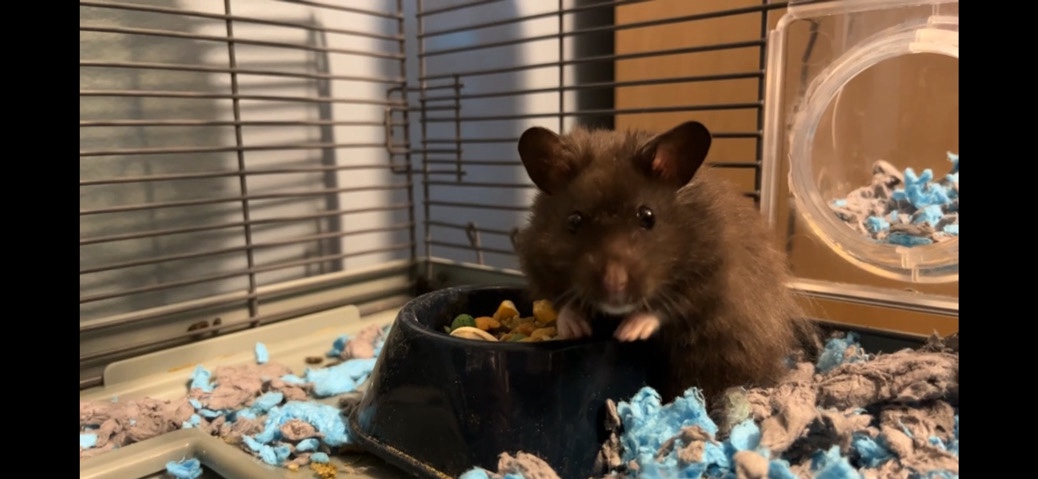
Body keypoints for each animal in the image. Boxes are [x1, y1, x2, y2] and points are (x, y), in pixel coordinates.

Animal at [513, 120, 820, 404]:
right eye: (574, 221)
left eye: (648, 216)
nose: (615, 290)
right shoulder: (537, 265)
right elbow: (560, 300)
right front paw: (576, 327)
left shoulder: (710, 275)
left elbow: (670, 306)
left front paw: (629, 333)